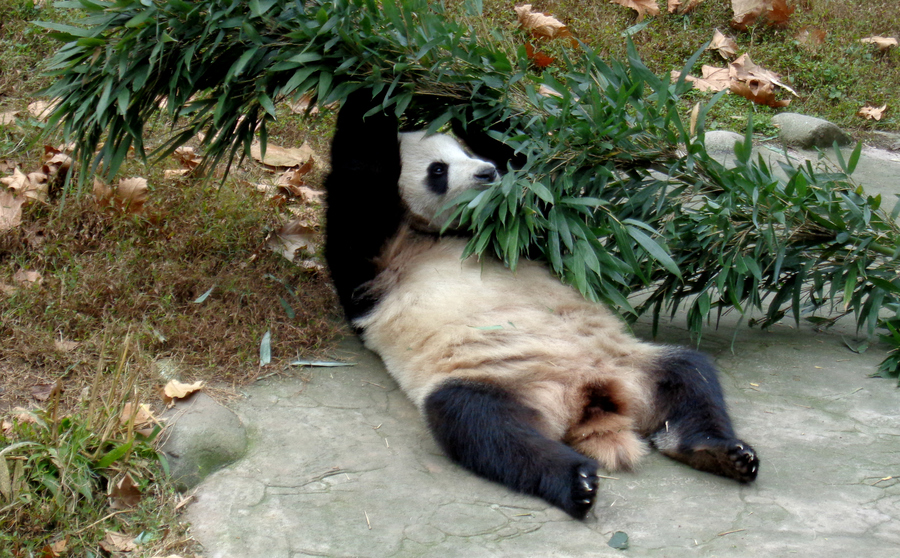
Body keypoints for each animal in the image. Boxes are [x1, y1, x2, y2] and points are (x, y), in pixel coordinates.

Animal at [323, 93, 759, 519]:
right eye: (438, 170)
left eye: (464, 152)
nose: (486, 174)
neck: (442, 232)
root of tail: (592, 397)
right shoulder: (377, 263)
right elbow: (361, 183)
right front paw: (369, 88)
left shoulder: (518, 234)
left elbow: (538, 184)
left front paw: (464, 96)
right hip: (498, 379)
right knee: (484, 426)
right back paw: (576, 482)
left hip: (633, 362)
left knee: (689, 377)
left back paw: (719, 453)